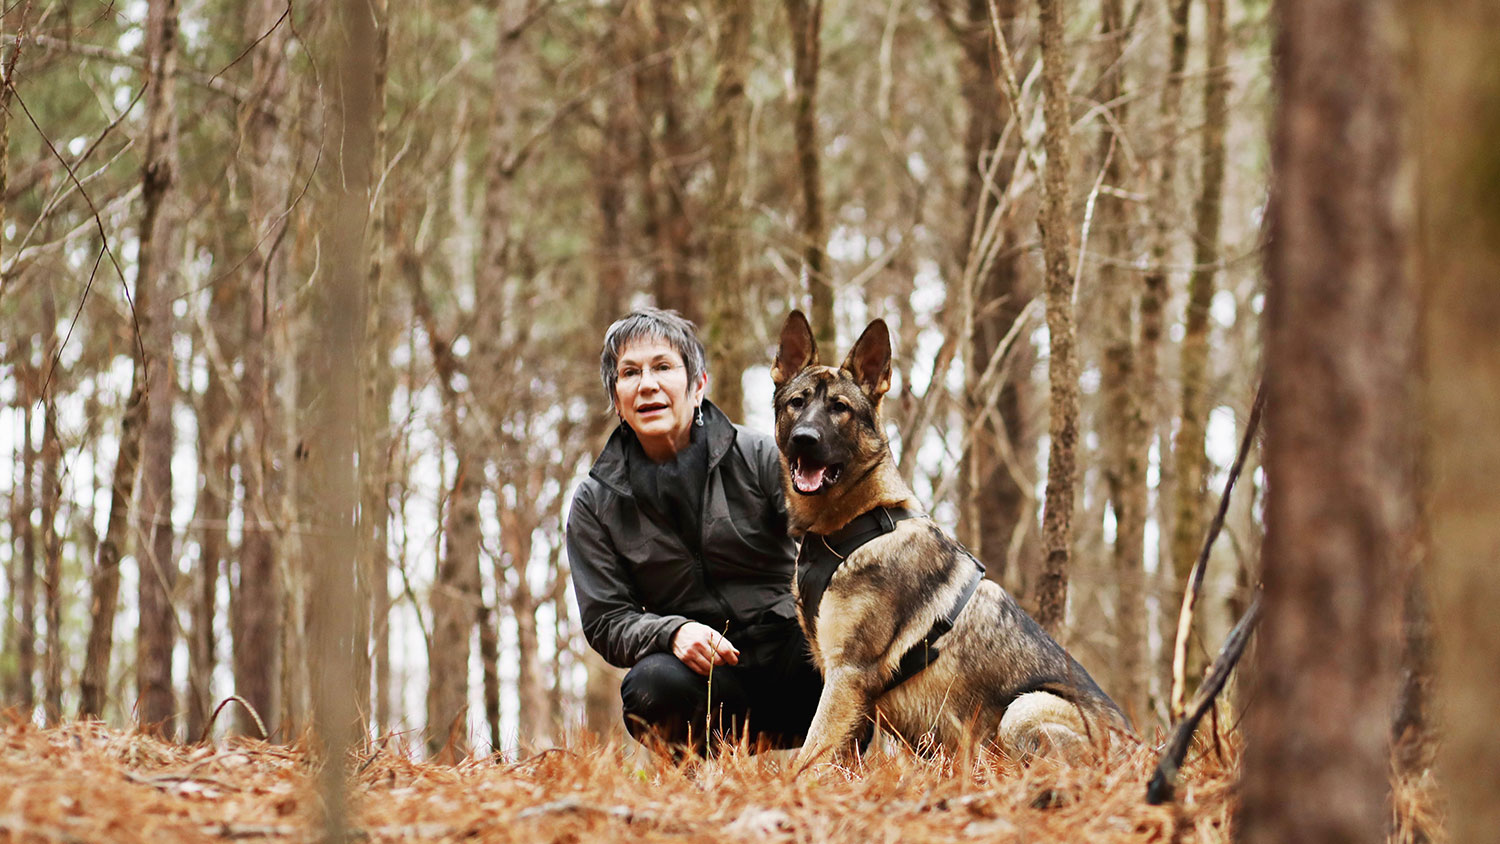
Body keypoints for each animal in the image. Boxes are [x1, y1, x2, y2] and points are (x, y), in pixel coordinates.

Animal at [774, 313, 1128, 767]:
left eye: (840, 409)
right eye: (796, 403)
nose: (804, 439)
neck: (856, 526)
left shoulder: (848, 674)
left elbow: (810, 755)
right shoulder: (848, 690)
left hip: (1025, 707)